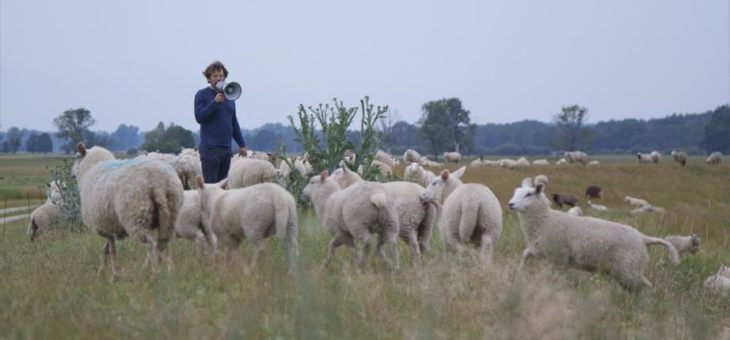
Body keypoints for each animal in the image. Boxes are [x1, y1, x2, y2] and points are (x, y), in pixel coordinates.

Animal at [72, 142, 183, 278]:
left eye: (76, 157)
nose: (71, 174)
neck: (90, 169)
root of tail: (157, 181)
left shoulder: (104, 226)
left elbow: (111, 250)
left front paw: (113, 275)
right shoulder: (111, 226)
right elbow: (107, 249)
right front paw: (103, 271)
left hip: (136, 217)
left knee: (151, 245)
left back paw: (153, 272)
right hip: (170, 215)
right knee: (163, 244)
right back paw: (169, 272)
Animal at [506, 177, 676, 290]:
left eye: (528, 195)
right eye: (516, 192)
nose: (510, 204)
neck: (544, 220)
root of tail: (643, 238)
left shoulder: (559, 257)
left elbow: (556, 278)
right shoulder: (540, 250)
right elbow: (524, 254)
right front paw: (520, 272)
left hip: (629, 269)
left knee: (646, 288)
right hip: (626, 270)